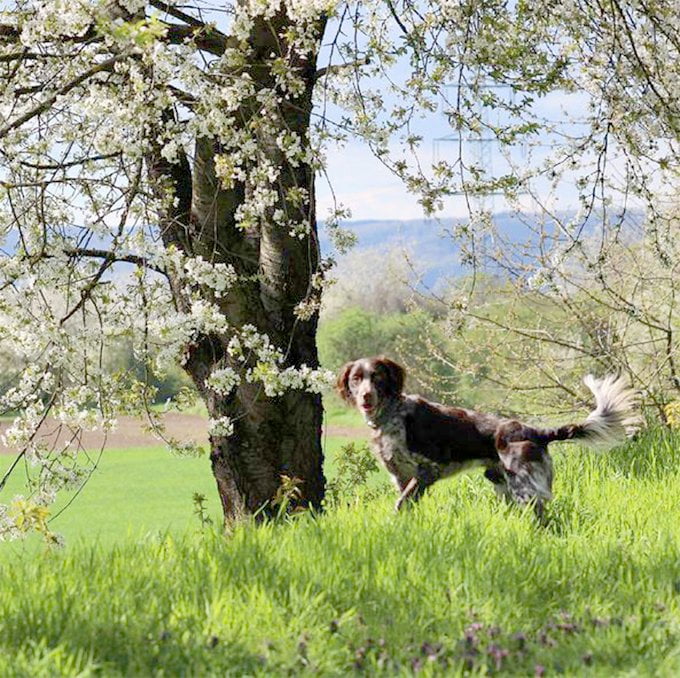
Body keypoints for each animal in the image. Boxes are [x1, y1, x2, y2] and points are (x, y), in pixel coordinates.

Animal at [336, 356, 636, 516]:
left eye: (377, 377)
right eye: (356, 379)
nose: (366, 396)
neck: (391, 416)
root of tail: (536, 431)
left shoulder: (428, 469)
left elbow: (400, 505)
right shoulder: (401, 476)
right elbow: (406, 503)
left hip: (523, 485)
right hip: (500, 480)